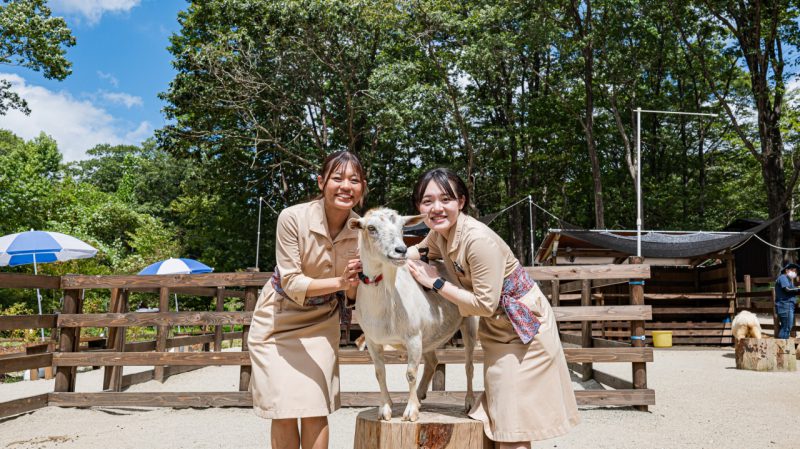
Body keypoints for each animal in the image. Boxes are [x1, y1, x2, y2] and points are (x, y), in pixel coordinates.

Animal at [348, 206, 476, 420]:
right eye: (371, 228)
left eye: (402, 227)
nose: (401, 250)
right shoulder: (372, 341)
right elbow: (379, 372)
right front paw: (385, 409)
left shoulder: (413, 337)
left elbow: (410, 373)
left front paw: (410, 412)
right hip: (430, 334)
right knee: (433, 361)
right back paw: (420, 395)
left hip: (469, 322)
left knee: (468, 364)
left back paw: (469, 402)